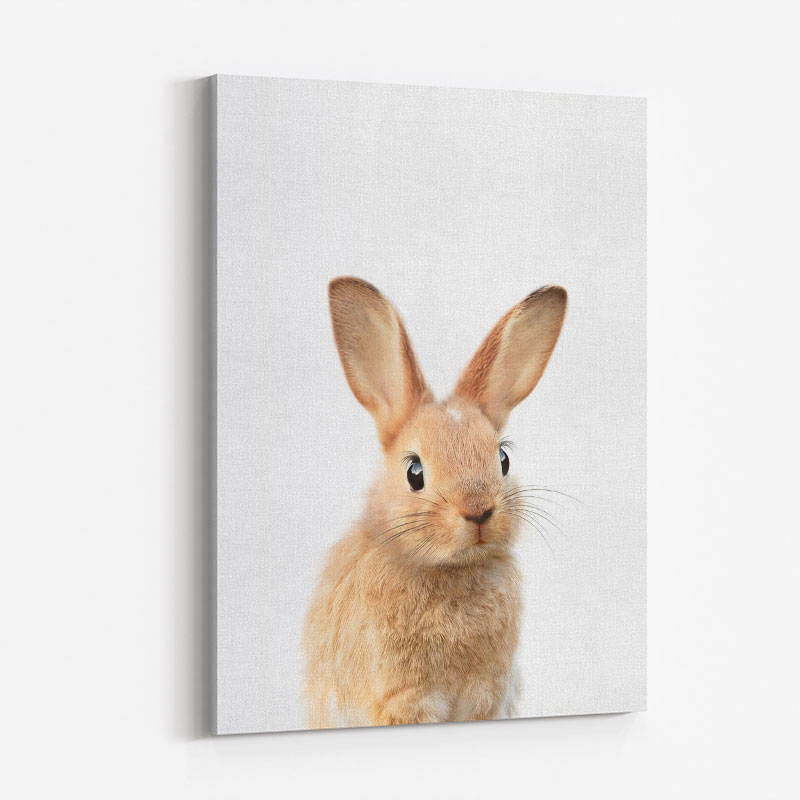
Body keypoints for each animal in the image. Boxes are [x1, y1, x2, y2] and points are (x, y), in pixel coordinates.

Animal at [303, 276, 567, 728]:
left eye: (503, 459)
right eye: (415, 471)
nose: (478, 511)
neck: (450, 571)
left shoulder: (486, 694)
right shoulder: (403, 698)